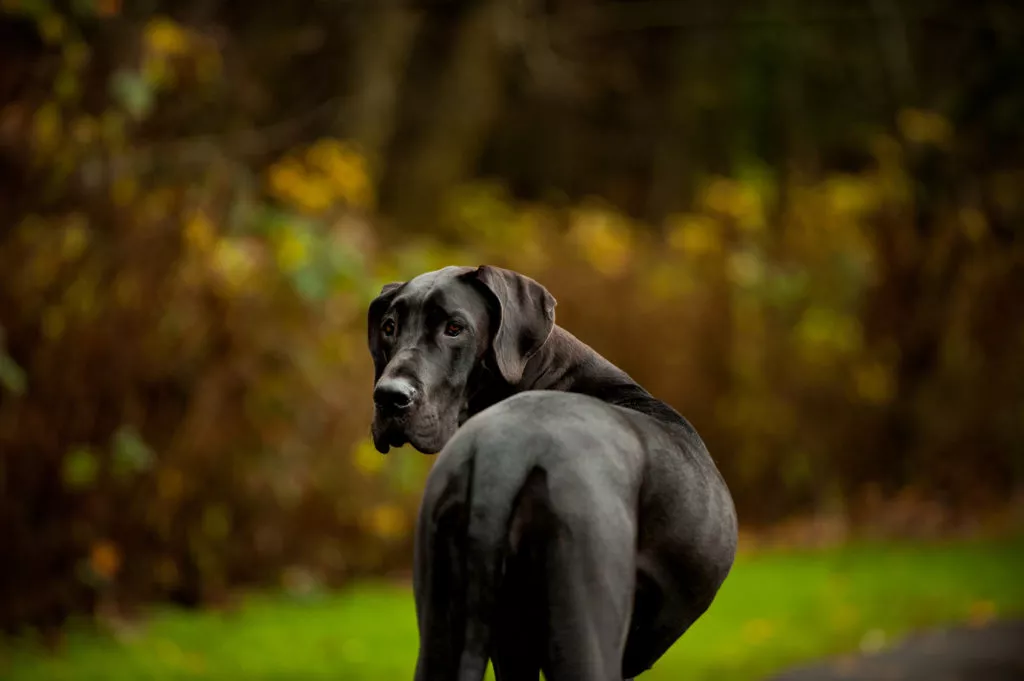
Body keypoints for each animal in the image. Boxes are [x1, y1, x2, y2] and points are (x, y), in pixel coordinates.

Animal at [368, 266, 737, 679]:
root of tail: (505, 447)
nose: (389, 397)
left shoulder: (510, 646)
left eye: (454, 328)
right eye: (389, 327)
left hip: (440, 630)